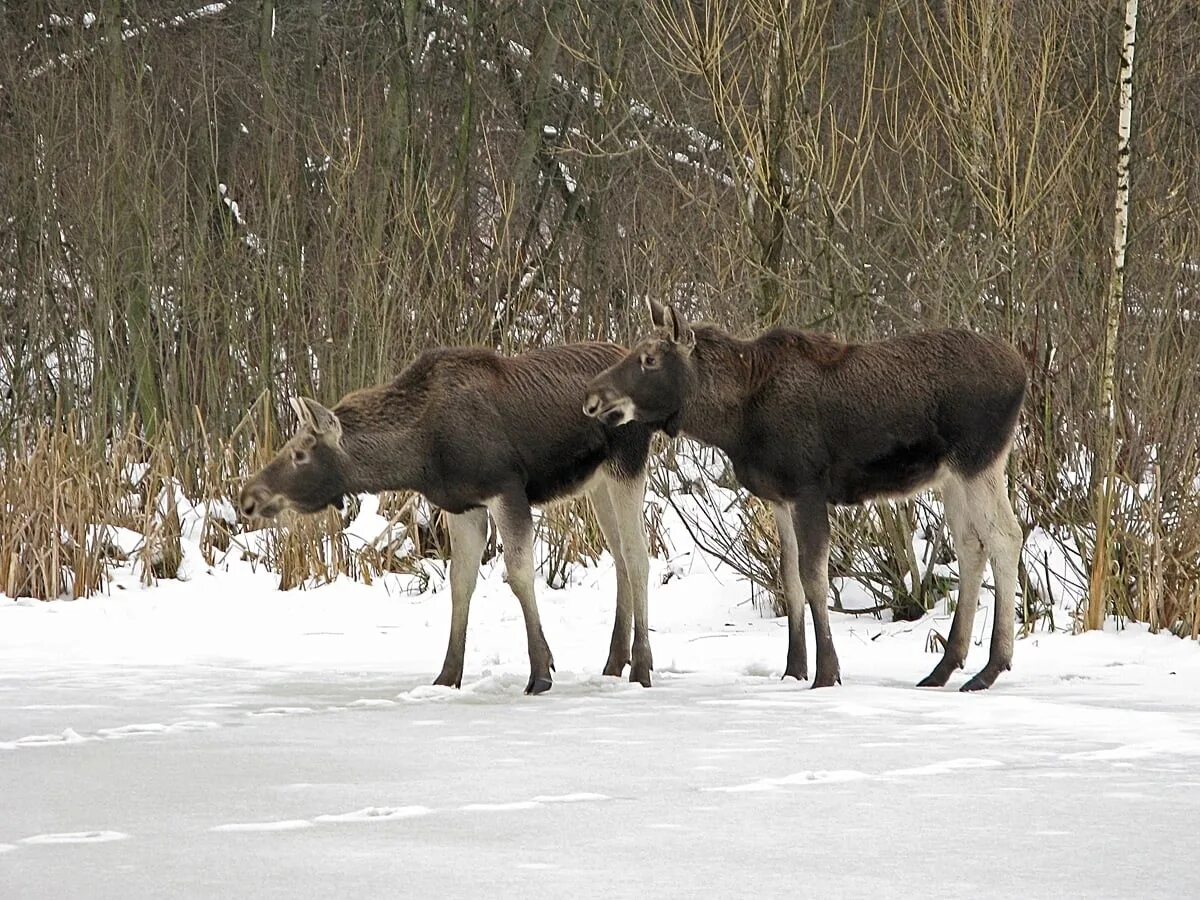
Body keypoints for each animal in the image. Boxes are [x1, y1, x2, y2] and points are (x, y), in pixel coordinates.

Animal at [241, 340, 657, 696]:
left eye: (300, 453)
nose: (247, 497)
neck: (420, 456)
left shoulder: (506, 488)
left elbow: (519, 574)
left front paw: (540, 671)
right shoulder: (463, 504)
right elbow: (460, 583)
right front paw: (447, 676)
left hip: (627, 464)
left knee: (637, 554)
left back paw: (641, 667)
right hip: (598, 482)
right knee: (620, 554)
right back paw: (614, 662)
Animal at [580, 301, 1022, 691]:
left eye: (650, 358)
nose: (592, 398)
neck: (733, 423)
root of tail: (1023, 375)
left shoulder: (810, 488)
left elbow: (813, 576)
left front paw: (826, 673)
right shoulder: (781, 496)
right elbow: (788, 574)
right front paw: (794, 668)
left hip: (977, 461)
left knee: (1005, 537)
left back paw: (990, 668)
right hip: (952, 477)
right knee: (971, 545)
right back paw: (944, 667)